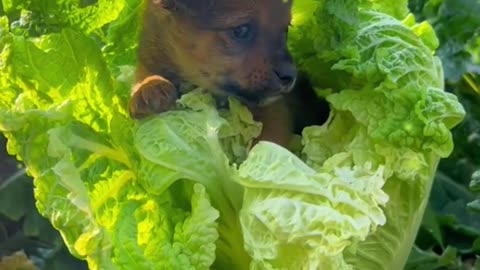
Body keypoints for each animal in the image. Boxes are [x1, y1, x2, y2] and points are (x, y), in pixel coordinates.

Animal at [129, 0, 328, 147]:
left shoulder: (275, 112)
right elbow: (145, 71)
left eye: (285, 28)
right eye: (241, 30)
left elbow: (266, 142)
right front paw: (148, 87)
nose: (290, 76)